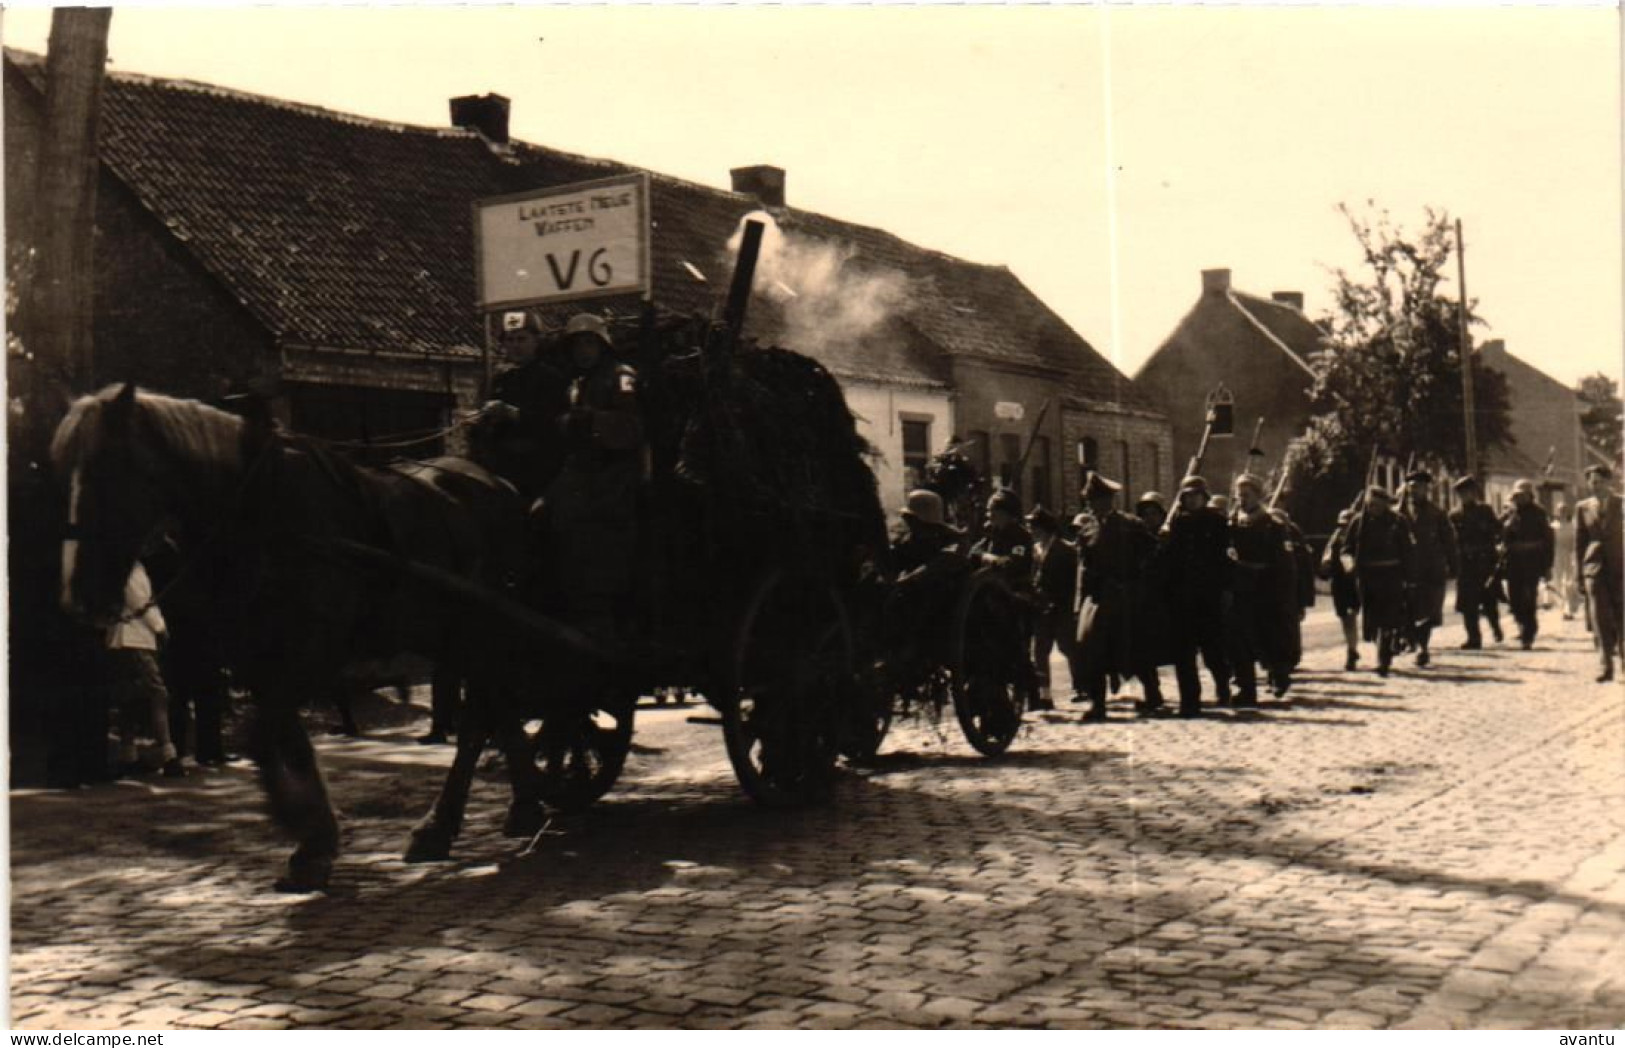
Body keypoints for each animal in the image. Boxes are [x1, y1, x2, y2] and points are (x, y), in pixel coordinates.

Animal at [52, 383, 559, 890]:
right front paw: (313, 843)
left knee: (478, 719)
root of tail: (499, 486)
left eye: (109, 469)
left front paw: (302, 829)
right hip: (456, 634)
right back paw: (518, 805)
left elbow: (263, 738)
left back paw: (447, 822)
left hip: (479, 631)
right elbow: (286, 741)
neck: (262, 516)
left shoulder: (310, 656)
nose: (81, 598)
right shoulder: (258, 660)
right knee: (495, 706)